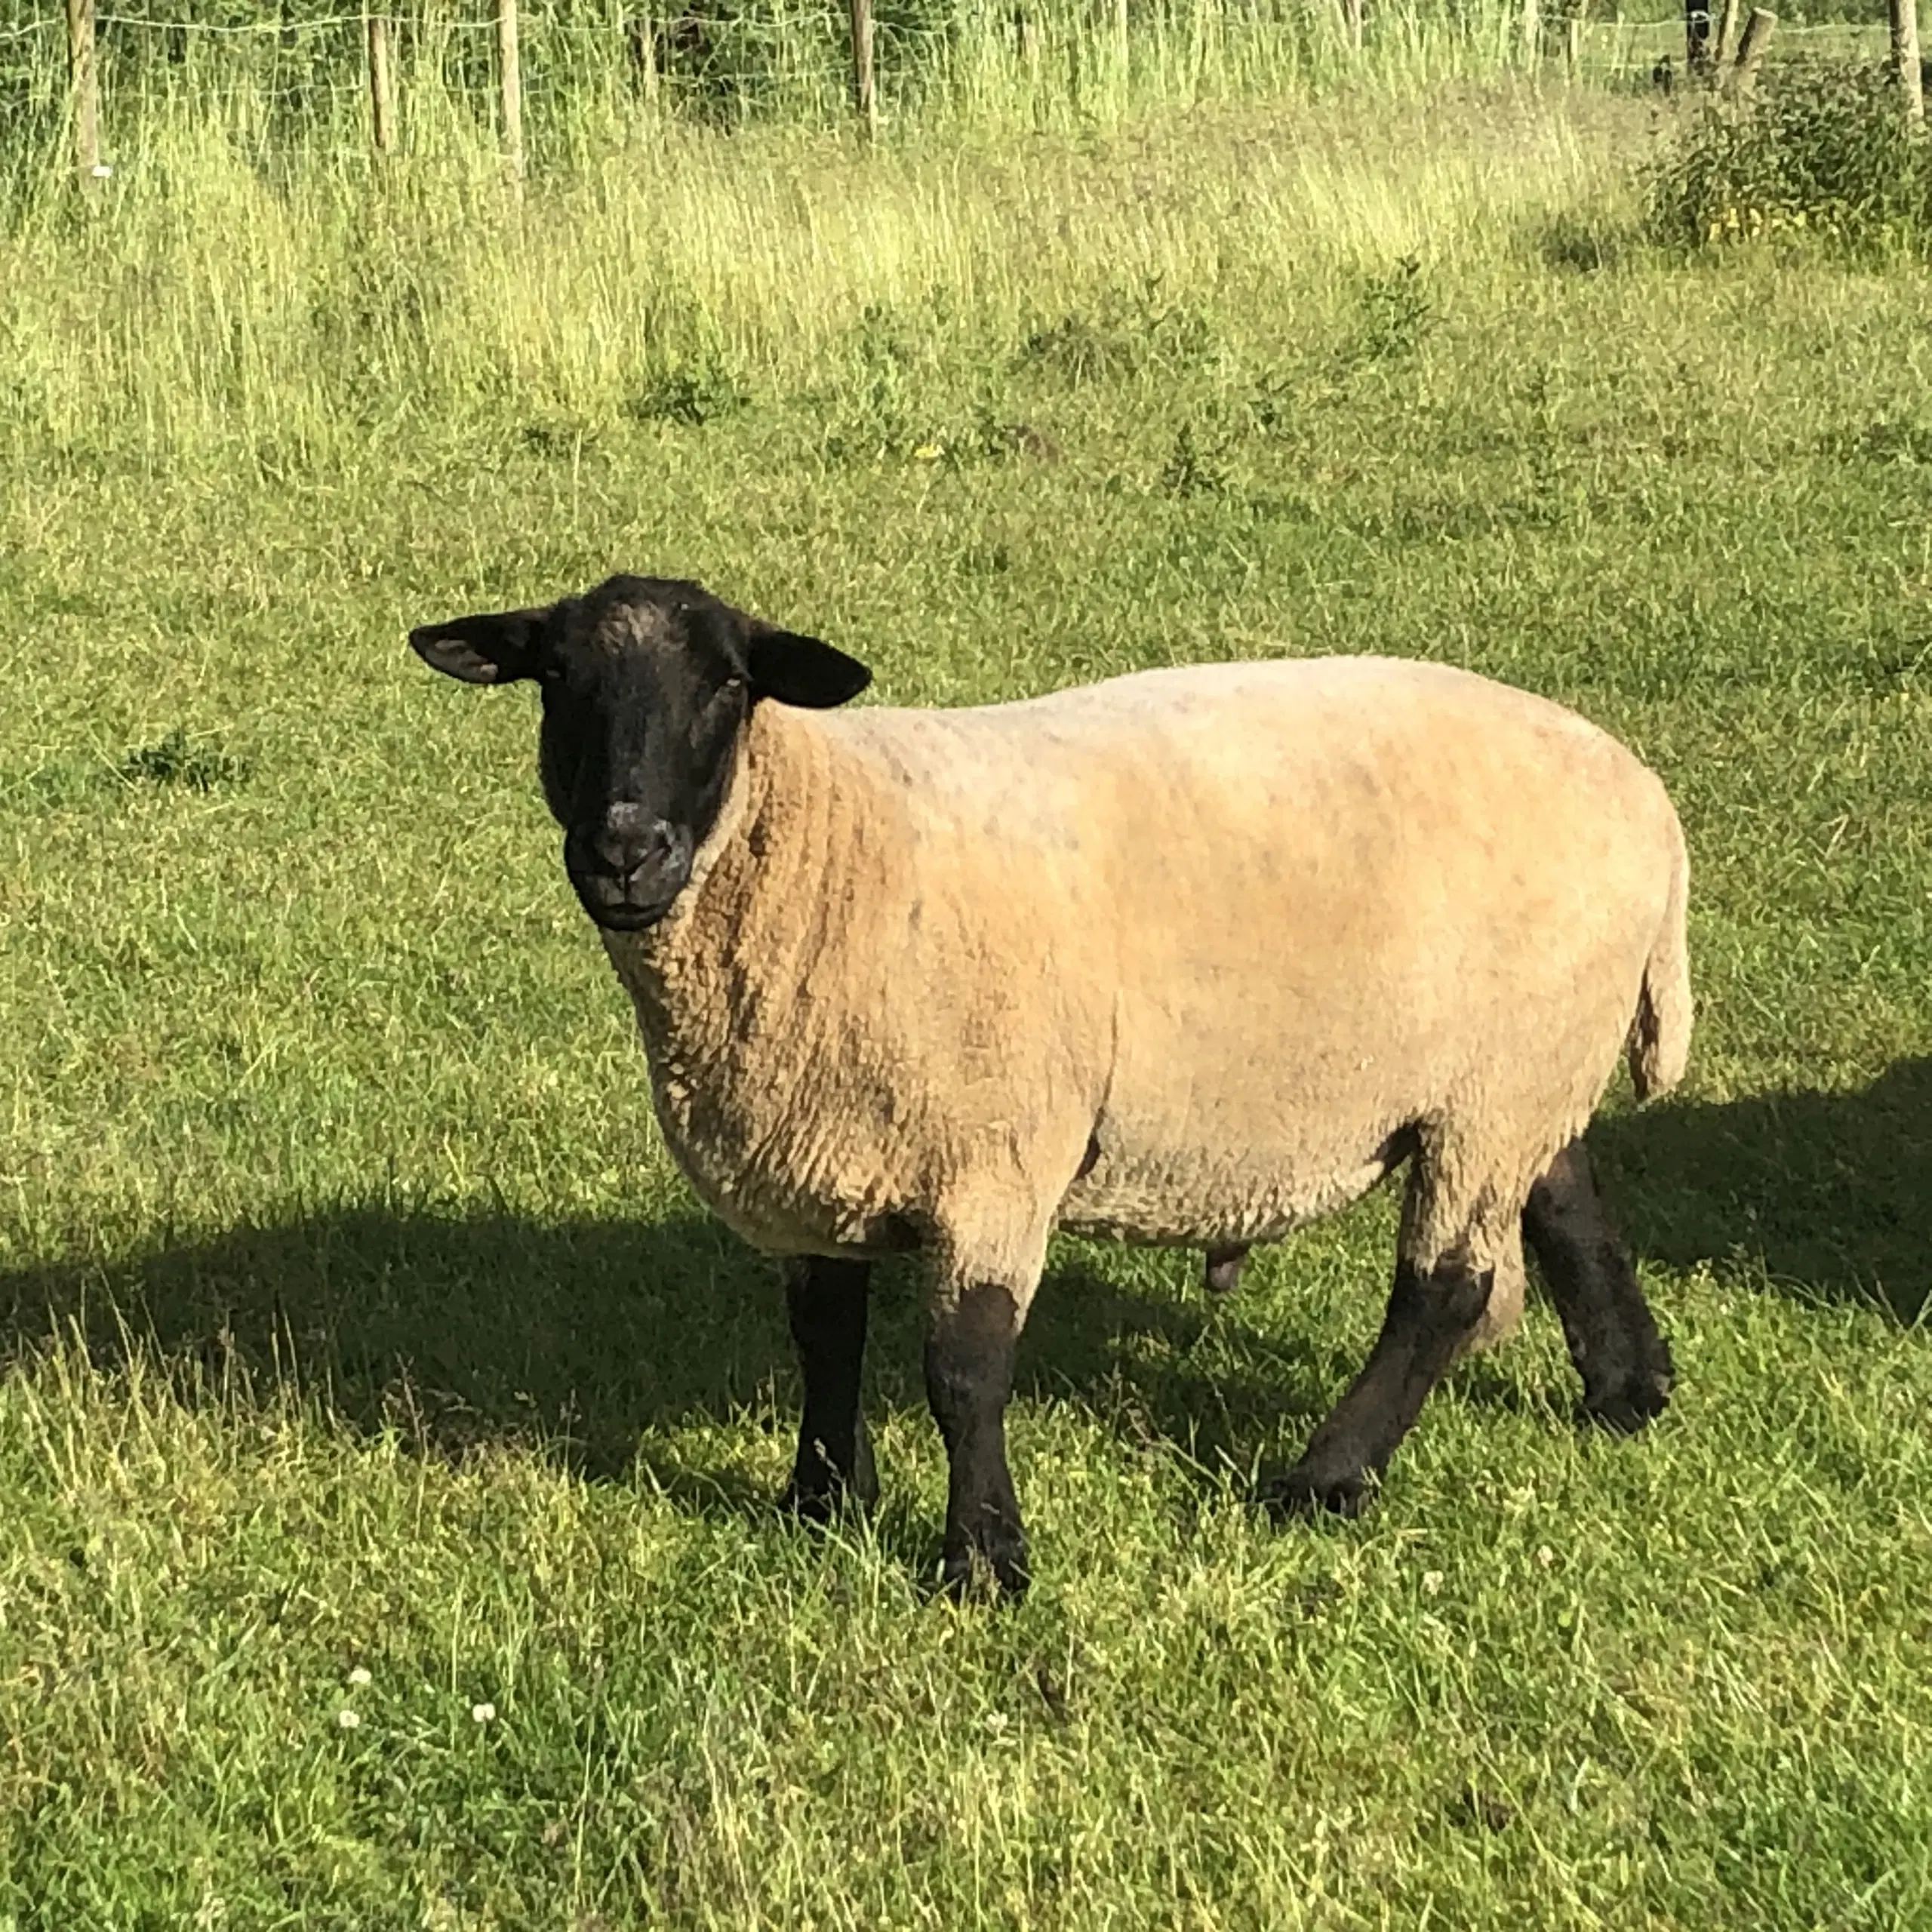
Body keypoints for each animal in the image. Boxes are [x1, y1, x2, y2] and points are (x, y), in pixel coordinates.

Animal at [411, 571, 1692, 1599]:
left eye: (730, 686)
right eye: (555, 678)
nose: (626, 851)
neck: (834, 844)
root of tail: (1646, 795)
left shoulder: (994, 1159)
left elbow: (964, 1371)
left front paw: (984, 1561)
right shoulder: (821, 1150)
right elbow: (822, 1335)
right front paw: (818, 1505)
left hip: (1500, 1078)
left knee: (1445, 1289)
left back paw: (1325, 1477)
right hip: (1519, 1061)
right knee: (1567, 1197)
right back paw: (1628, 1390)